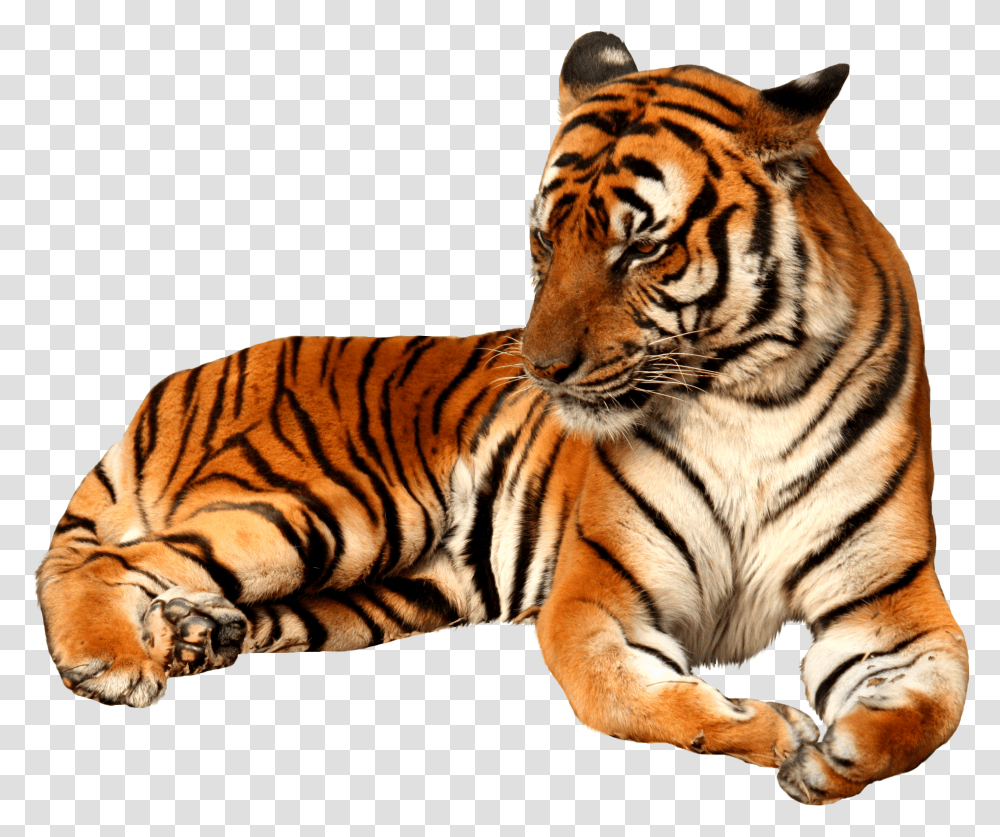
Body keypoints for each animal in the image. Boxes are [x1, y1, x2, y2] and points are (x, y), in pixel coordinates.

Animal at [37, 31, 968, 805]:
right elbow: (624, 696)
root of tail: (178, 380)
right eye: (546, 241)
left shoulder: (889, 599)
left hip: (384, 590)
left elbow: (939, 705)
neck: (745, 398)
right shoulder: (598, 594)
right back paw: (109, 660)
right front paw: (771, 727)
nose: (541, 368)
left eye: (642, 246)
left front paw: (838, 754)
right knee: (102, 559)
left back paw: (197, 631)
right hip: (332, 509)